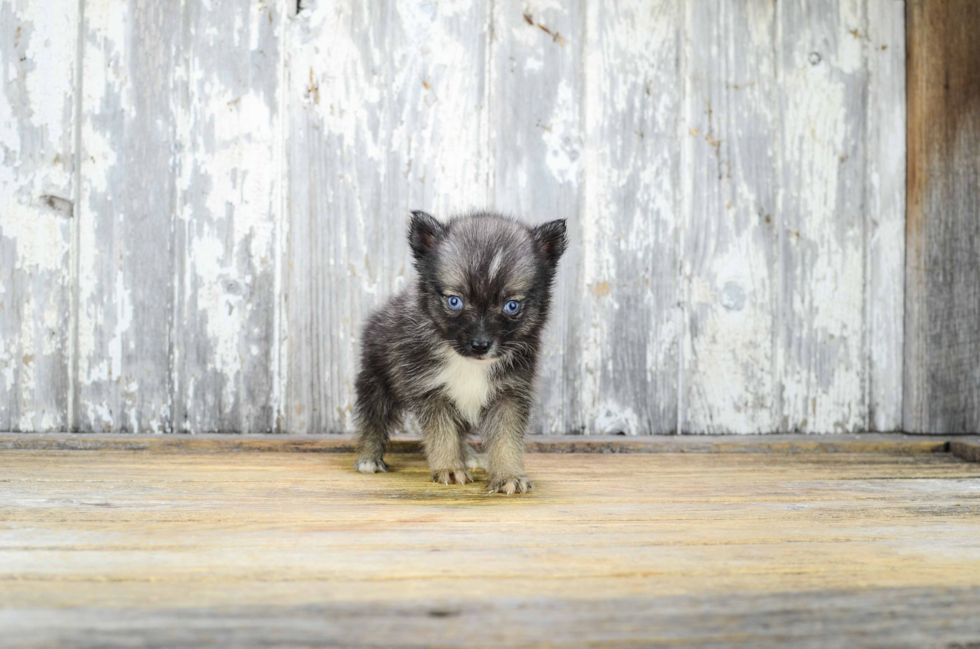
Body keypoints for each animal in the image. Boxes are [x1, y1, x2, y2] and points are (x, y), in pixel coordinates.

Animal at [352, 210, 568, 494]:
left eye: (512, 306)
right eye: (455, 301)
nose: (480, 345)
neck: (469, 363)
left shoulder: (509, 392)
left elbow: (506, 438)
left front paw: (508, 474)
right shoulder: (431, 391)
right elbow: (442, 434)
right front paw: (449, 469)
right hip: (376, 380)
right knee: (372, 419)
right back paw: (369, 457)